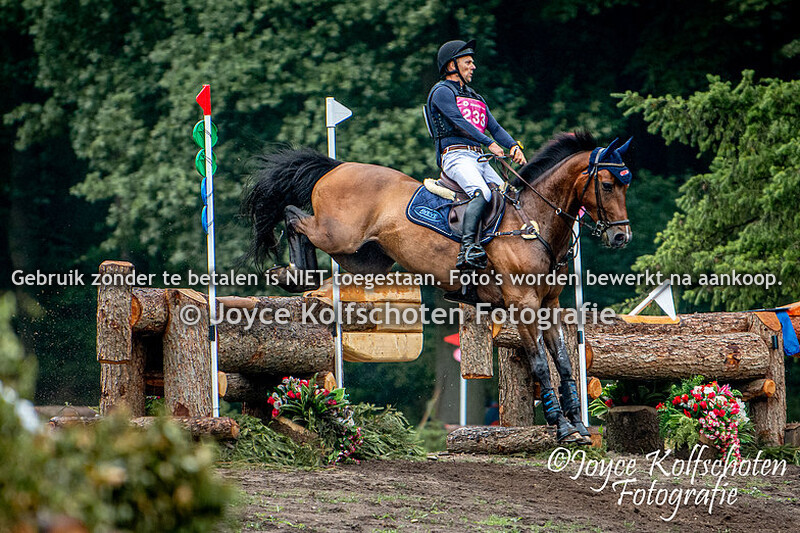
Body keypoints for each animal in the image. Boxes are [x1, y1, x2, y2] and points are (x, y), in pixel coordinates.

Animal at [242, 131, 633, 443]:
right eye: (608, 185)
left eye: (626, 185)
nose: (621, 237)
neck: (533, 222)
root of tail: (338, 167)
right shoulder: (522, 303)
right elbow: (539, 362)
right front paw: (561, 426)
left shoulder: (549, 303)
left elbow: (564, 362)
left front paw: (578, 424)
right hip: (338, 234)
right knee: (294, 217)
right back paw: (292, 273)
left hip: (364, 256)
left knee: (302, 224)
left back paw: (297, 276)